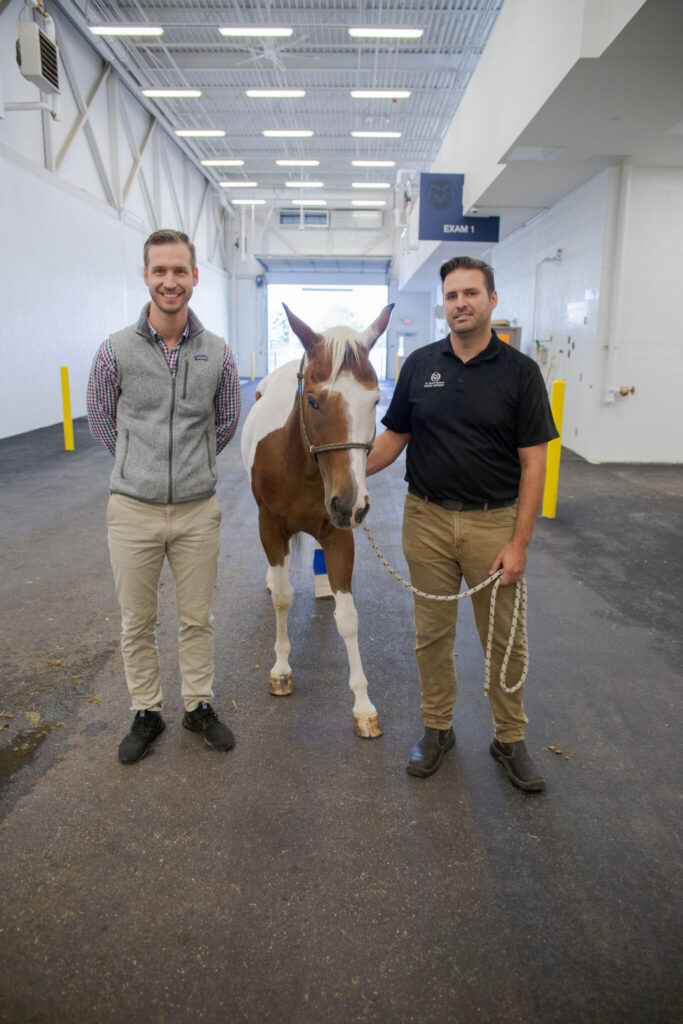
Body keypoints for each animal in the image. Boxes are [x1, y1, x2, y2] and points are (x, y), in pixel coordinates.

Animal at [241, 302, 394, 738]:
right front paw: (281, 670)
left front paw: (363, 705)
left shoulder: (339, 535)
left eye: (375, 400)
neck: (302, 467)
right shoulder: (270, 527)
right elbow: (283, 598)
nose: (351, 503)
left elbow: (349, 619)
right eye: (311, 401)